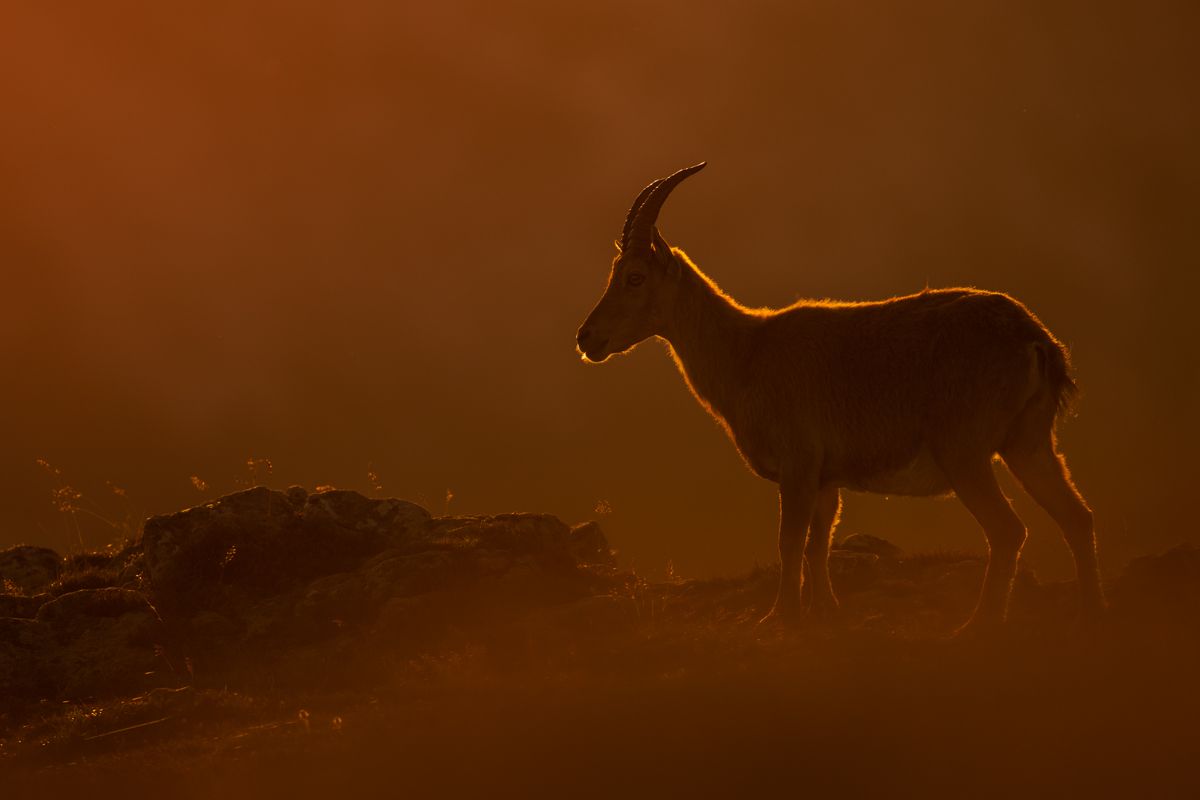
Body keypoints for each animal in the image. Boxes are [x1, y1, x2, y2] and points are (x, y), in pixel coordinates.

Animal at [576, 160, 1099, 633]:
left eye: (635, 276)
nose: (587, 338)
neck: (746, 352)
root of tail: (1036, 340)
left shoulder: (798, 464)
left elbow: (790, 541)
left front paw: (781, 617)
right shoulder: (826, 478)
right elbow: (818, 543)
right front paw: (825, 611)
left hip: (965, 453)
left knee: (1009, 531)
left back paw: (979, 625)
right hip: (1029, 443)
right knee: (1078, 517)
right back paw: (1088, 617)